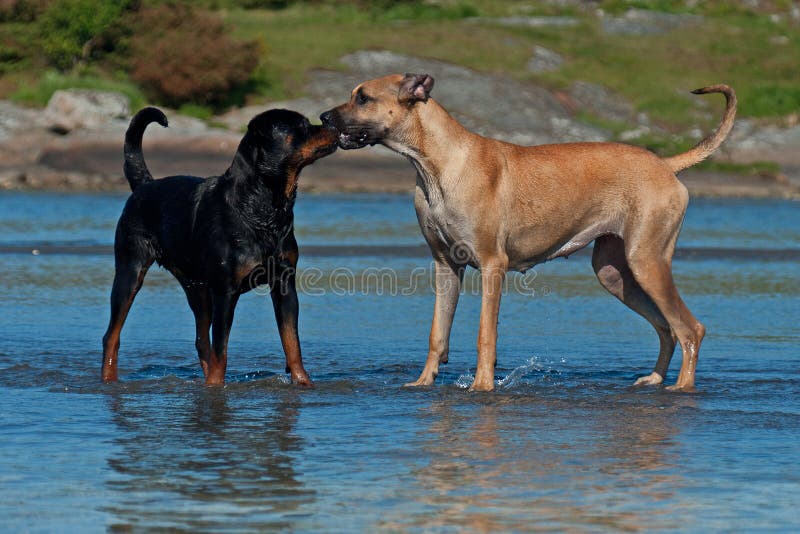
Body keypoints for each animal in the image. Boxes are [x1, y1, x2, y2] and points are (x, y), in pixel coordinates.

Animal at [101, 107, 336, 388]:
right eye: (301, 126)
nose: (330, 123)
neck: (263, 206)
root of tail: (145, 184)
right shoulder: (225, 291)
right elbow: (221, 347)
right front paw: (216, 386)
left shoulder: (284, 284)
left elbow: (292, 342)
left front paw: (302, 382)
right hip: (130, 270)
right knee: (112, 335)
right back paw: (109, 379)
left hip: (197, 288)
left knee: (201, 340)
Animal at [320, 74, 736, 394]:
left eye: (364, 97)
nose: (324, 117)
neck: (435, 165)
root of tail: (665, 164)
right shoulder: (445, 266)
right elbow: (438, 333)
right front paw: (424, 383)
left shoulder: (492, 266)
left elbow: (485, 333)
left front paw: (482, 387)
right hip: (615, 273)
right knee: (667, 327)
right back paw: (654, 379)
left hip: (647, 261)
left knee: (690, 329)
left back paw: (682, 387)